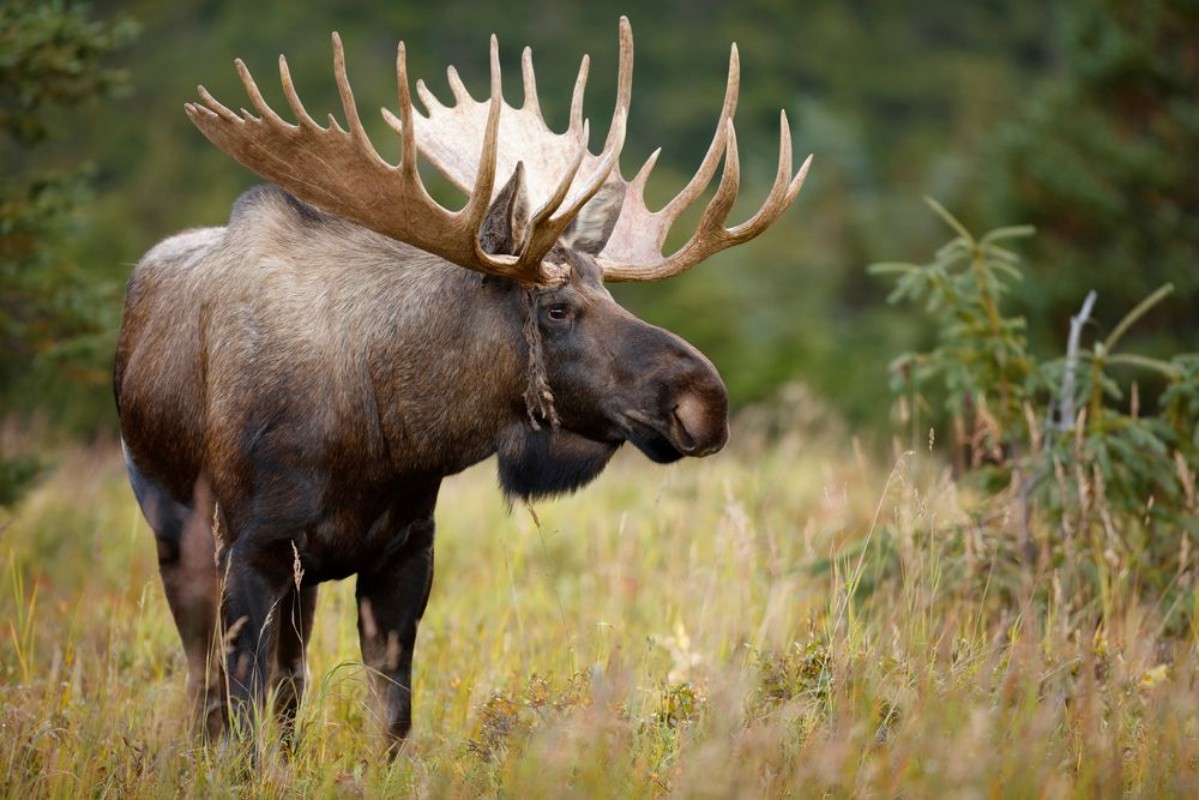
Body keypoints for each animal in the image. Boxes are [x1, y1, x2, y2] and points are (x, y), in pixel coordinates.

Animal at [112, 15, 810, 748]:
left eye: (608, 292)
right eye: (554, 308)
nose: (705, 400)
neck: (386, 438)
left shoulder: (406, 551)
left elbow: (388, 720)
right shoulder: (250, 549)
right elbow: (242, 719)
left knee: (287, 685)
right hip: (174, 533)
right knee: (206, 686)